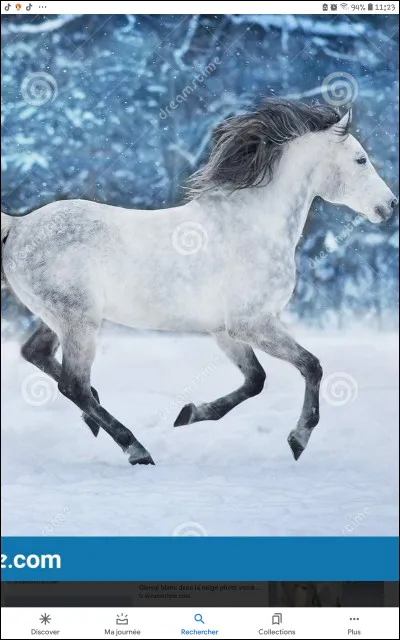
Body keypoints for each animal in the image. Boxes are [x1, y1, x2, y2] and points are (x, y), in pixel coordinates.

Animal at [1, 99, 397, 467]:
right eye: (361, 160)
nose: (390, 204)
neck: (252, 225)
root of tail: (18, 226)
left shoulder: (224, 330)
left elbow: (255, 380)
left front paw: (190, 413)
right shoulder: (253, 323)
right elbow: (311, 366)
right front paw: (298, 439)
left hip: (62, 319)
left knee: (39, 356)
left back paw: (97, 420)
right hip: (79, 322)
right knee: (73, 385)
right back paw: (137, 449)